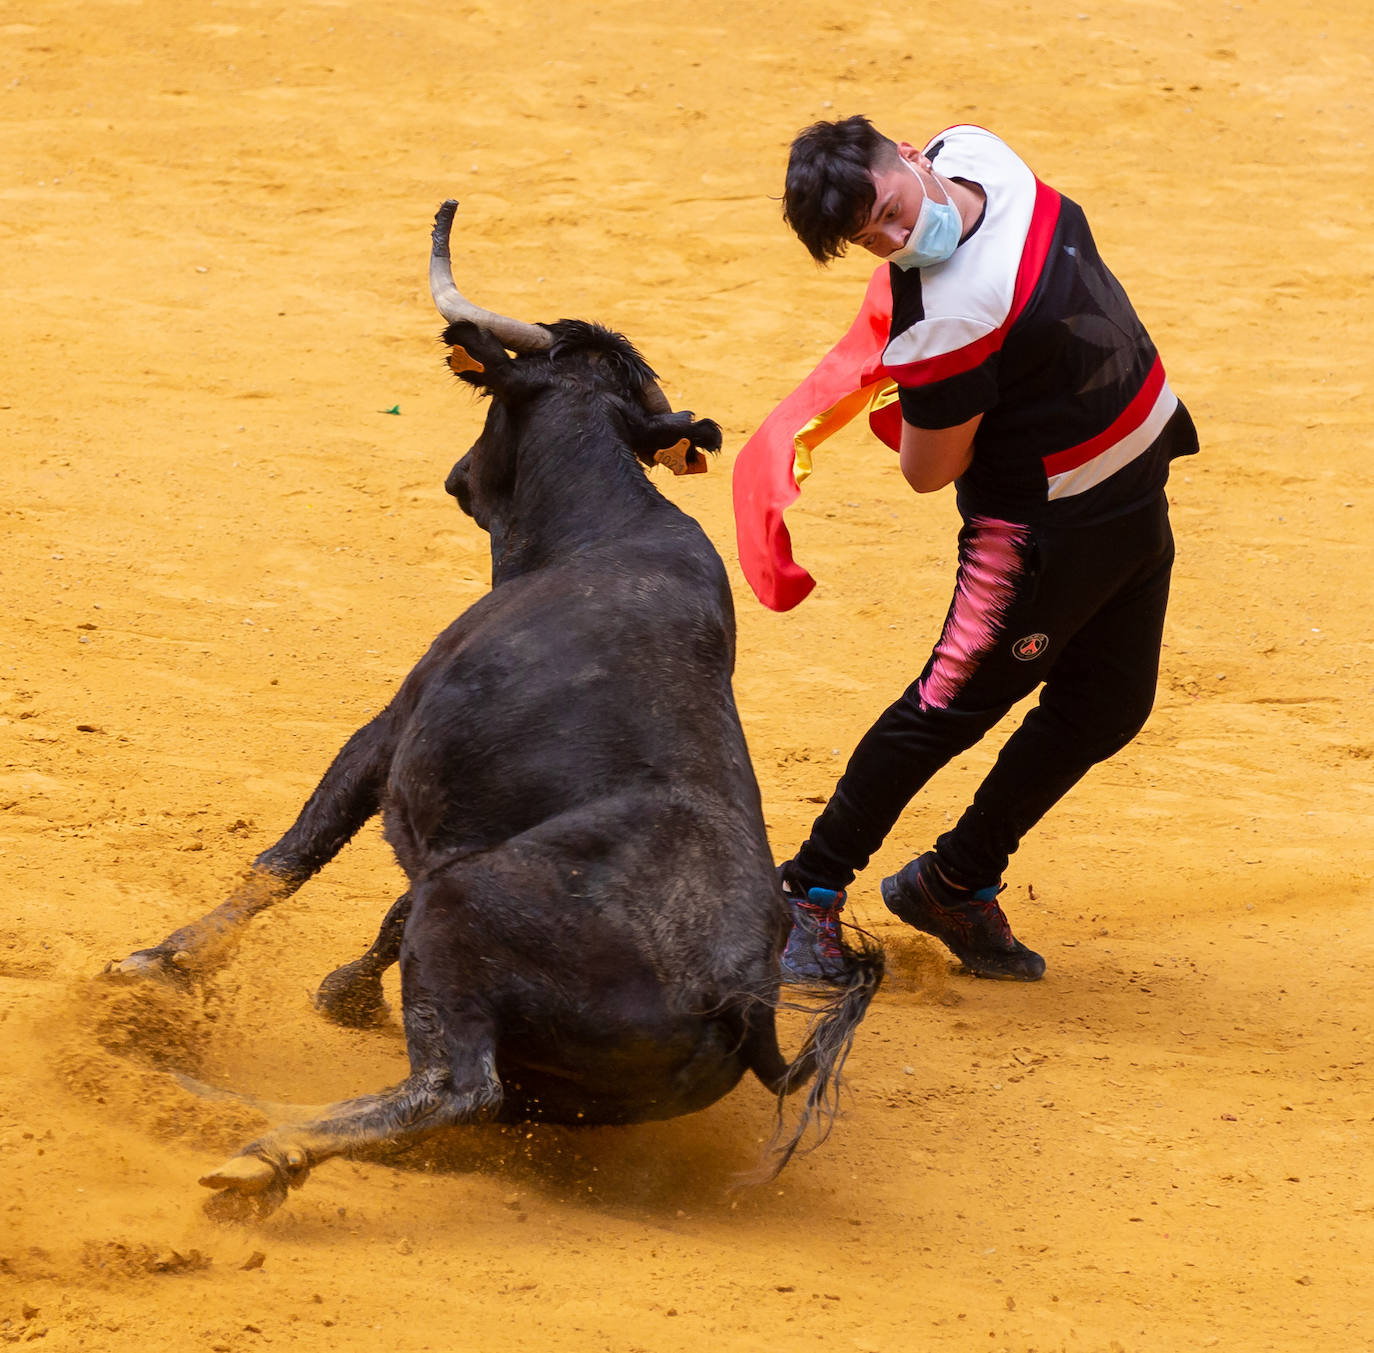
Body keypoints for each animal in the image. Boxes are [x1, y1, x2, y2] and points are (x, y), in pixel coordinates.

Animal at [107, 317, 879, 1214]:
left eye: (492, 411)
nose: (456, 475)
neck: (598, 532)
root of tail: (744, 1000)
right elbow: (387, 909)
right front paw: (342, 993)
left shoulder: (391, 728)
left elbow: (295, 851)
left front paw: (159, 963)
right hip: (555, 1078)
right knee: (476, 1102)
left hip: (465, 912)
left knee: (456, 1087)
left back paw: (265, 1153)